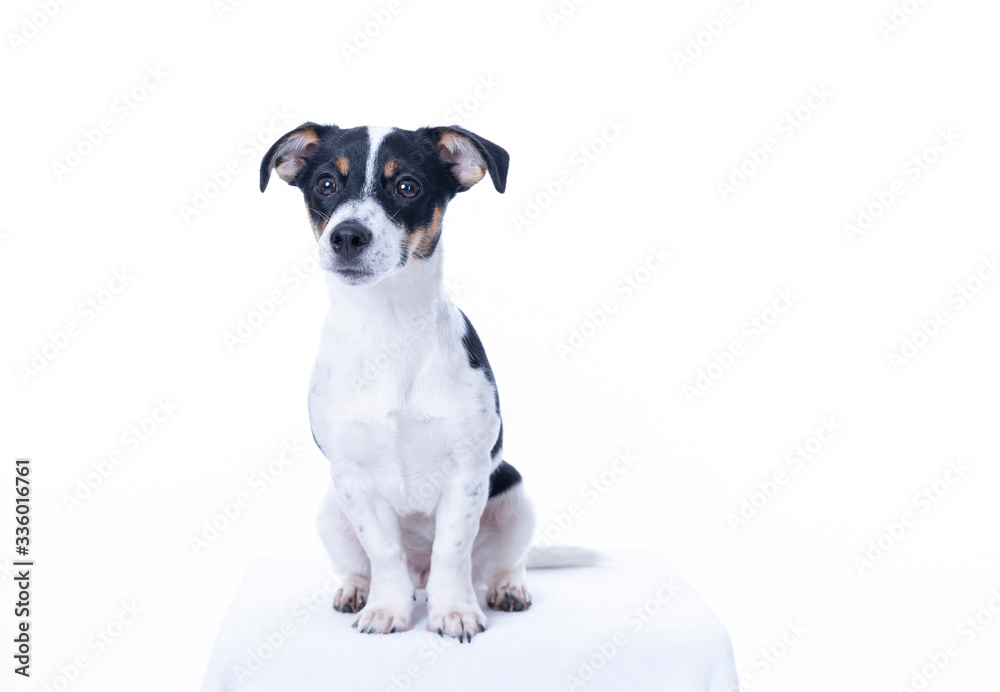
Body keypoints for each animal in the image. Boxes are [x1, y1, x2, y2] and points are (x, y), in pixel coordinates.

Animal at [262, 123, 592, 644]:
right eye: (326, 184)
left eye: (407, 186)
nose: (347, 235)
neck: (387, 329)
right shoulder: (352, 478)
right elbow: (384, 553)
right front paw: (385, 609)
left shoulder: (467, 472)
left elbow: (451, 551)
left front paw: (454, 611)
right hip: (331, 512)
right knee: (363, 565)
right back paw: (357, 590)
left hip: (515, 496)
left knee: (500, 564)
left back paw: (507, 588)